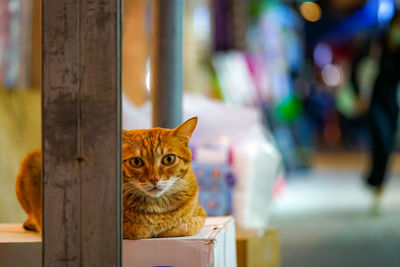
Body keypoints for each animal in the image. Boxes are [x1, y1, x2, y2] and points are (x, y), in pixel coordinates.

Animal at [15, 116, 206, 239]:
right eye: (136, 161)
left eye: (168, 159)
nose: (154, 179)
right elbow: (139, 231)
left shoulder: (200, 215)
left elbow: (185, 225)